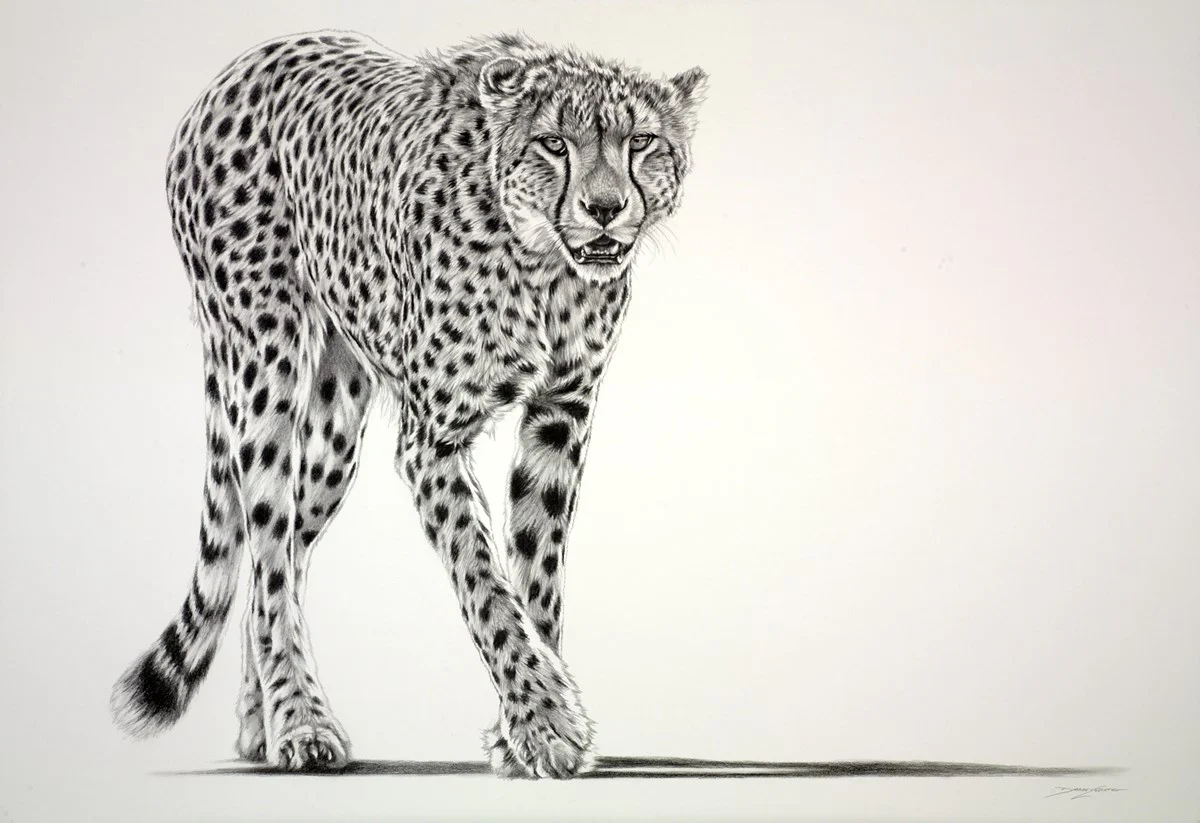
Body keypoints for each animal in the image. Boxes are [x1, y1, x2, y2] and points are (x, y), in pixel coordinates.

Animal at [109, 29, 707, 779]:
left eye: (643, 142)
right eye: (552, 143)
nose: (605, 208)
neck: (542, 266)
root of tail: (246, 63)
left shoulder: (561, 412)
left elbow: (537, 572)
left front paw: (521, 730)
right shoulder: (433, 443)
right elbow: (485, 580)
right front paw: (544, 722)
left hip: (336, 426)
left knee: (283, 552)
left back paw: (258, 721)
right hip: (263, 365)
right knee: (269, 547)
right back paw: (300, 721)